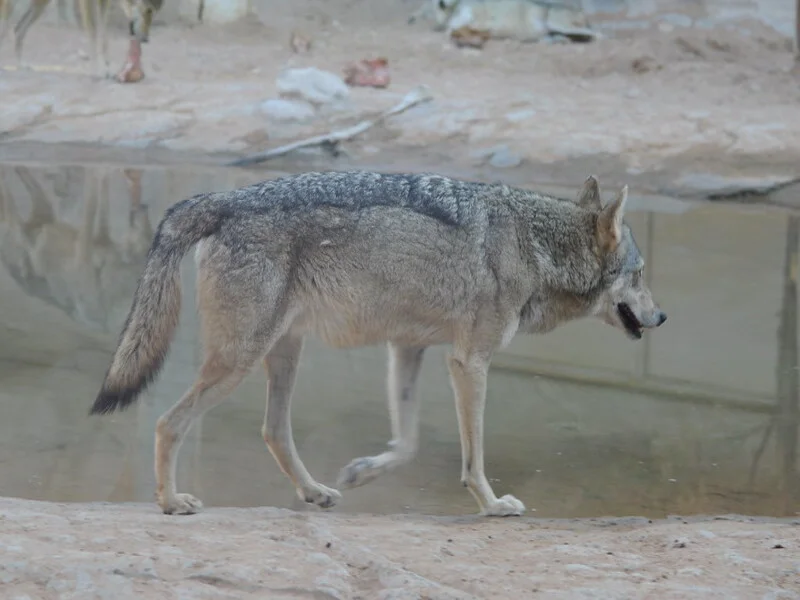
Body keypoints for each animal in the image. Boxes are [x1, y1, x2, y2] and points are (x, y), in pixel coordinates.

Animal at [0, 0, 162, 82]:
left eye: (153, 13)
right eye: (148, 11)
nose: (146, 39)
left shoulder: (104, 2)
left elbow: (104, 36)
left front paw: (106, 66)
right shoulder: (87, 3)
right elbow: (93, 32)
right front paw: (98, 70)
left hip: (39, 5)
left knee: (18, 30)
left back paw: (22, 65)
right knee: (6, 25)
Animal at [87, 171, 664, 516]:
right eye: (639, 274)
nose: (662, 316)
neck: (533, 244)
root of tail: (222, 197)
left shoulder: (408, 349)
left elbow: (406, 443)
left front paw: (364, 471)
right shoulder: (469, 363)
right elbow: (473, 456)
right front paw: (492, 504)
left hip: (283, 354)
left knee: (274, 431)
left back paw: (314, 491)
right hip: (240, 359)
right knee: (168, 422)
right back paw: (169, 501)